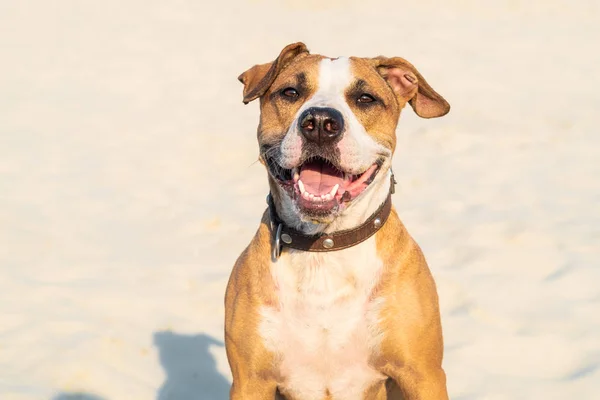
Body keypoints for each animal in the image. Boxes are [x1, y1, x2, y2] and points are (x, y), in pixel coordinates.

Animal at [225, 43, 450, 400]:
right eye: (290, 92)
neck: (325, 249)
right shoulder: (250, 381)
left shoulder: (423, 376)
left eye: (365, 98)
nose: (319, 122)